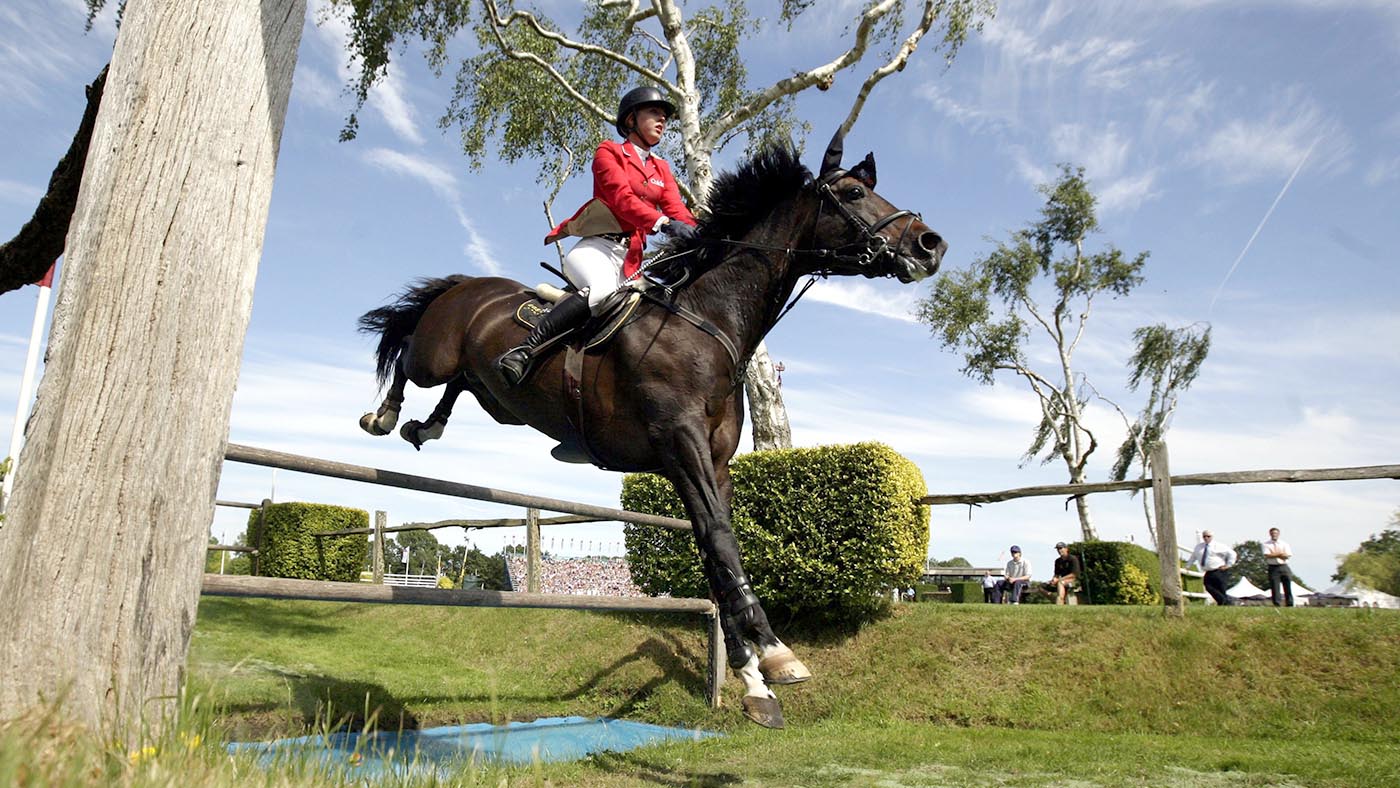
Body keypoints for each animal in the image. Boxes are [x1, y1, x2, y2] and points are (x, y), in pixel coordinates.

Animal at [356, 132, 946, 728]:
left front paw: (753, 679)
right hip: (436, 354)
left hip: (496, 397)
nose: (931, 244)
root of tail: (470, 285)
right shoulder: (680, 444)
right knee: (408, 357)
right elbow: (720, 540)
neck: (709, 323)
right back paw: (384, 415)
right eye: (852, 193)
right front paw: (776, 652)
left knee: (461, 385)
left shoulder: (711, 462)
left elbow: (715, 551)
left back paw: (429, 425)